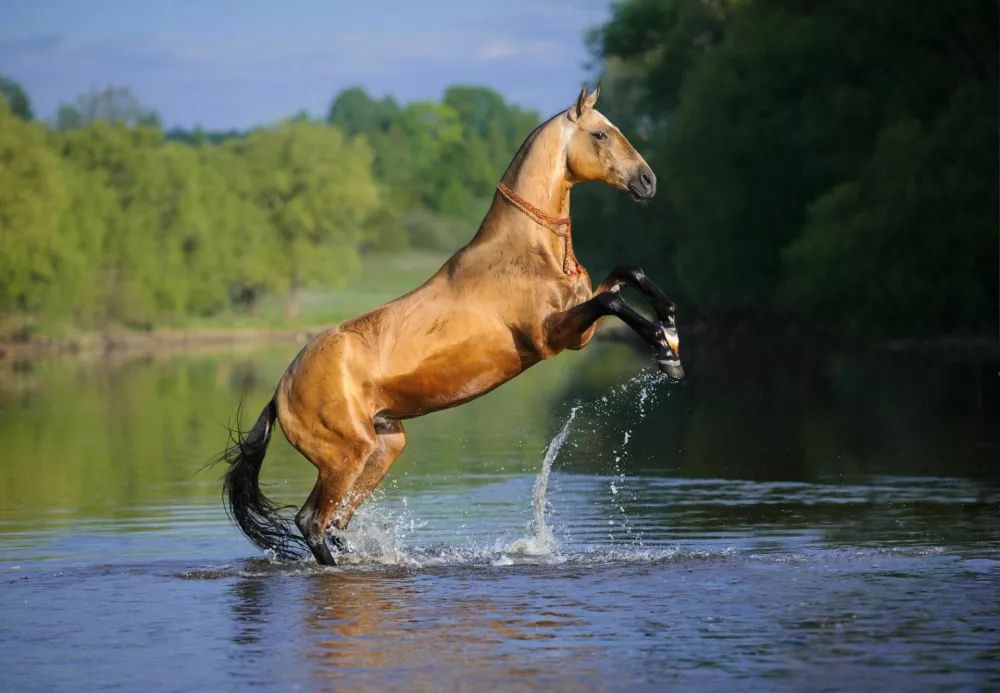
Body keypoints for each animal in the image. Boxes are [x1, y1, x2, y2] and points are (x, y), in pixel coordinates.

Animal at [212, 84, 684, 565]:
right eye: (600, 134)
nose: (648, 181)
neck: (526, 250)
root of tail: (279, 393)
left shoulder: (579, 326)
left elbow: (629, 274)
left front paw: (670, 326)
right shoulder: (554, 336)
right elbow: (612, 298)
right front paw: (667, 352)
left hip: (382, 446)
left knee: (336, 524)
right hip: (344, 456)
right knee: (311, 522)